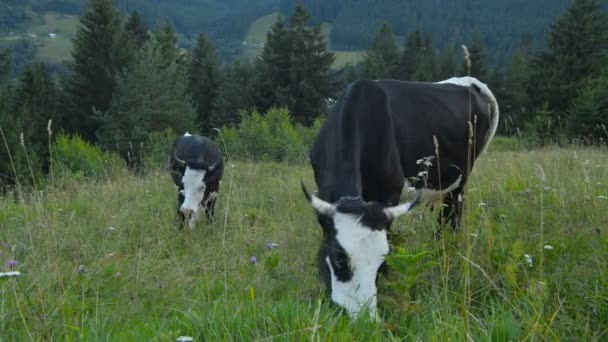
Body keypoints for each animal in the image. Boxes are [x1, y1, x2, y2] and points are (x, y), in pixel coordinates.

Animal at [302, 76, 498, 320]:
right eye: (339, 259)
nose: (365, 318)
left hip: (460, 181)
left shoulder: (389, 195)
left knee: (451, 217)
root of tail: (470, 82)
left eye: (381, 261)